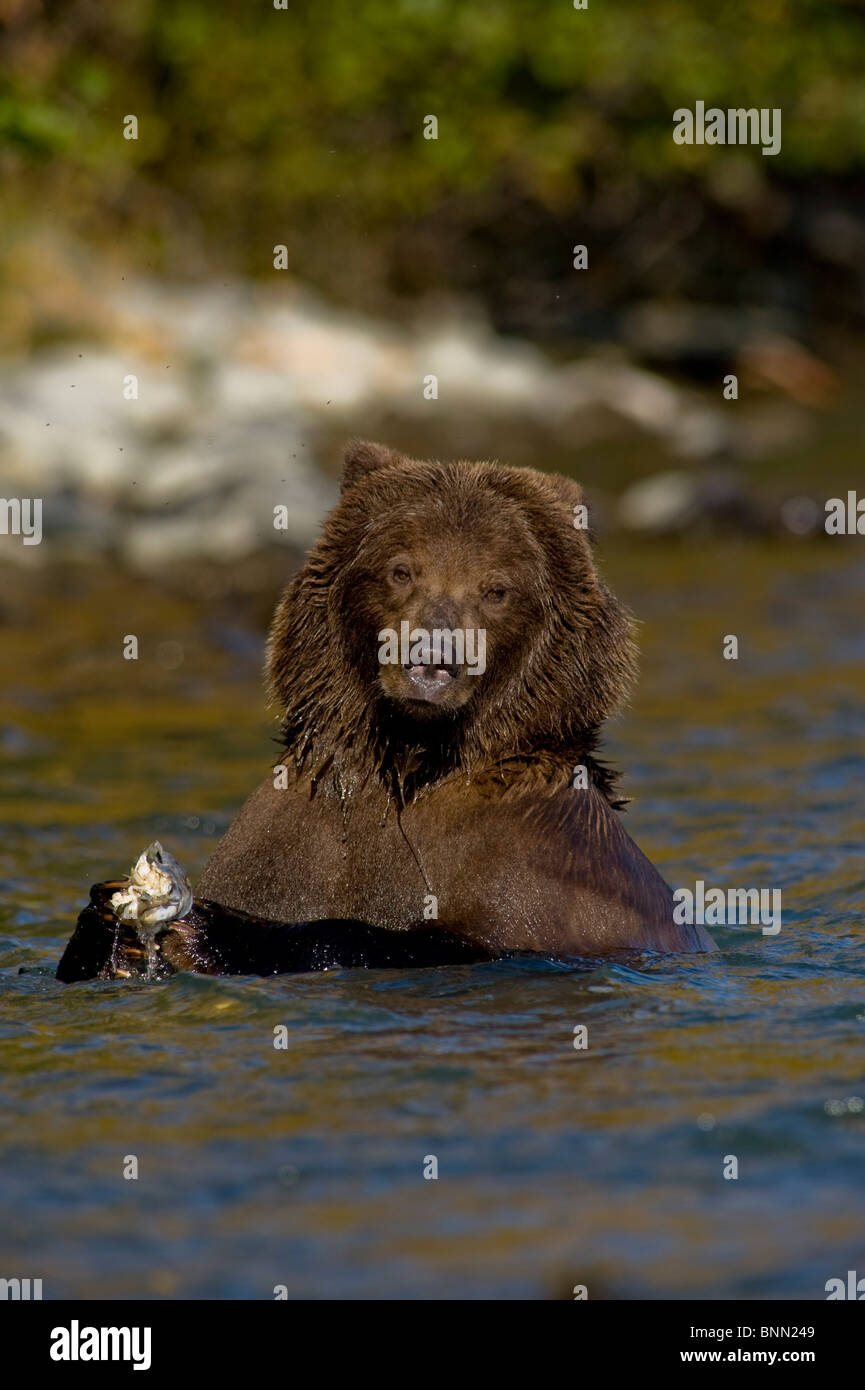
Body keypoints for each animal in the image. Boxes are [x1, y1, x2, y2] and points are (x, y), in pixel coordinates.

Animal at [57, 440, 713, 982]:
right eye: (402, 569)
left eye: (497, 588)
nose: (434, 657)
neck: (407, 757)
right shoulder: (289, 842)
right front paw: (104, 919)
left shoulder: (546, 879)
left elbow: (424, 939)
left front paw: (210, 931)